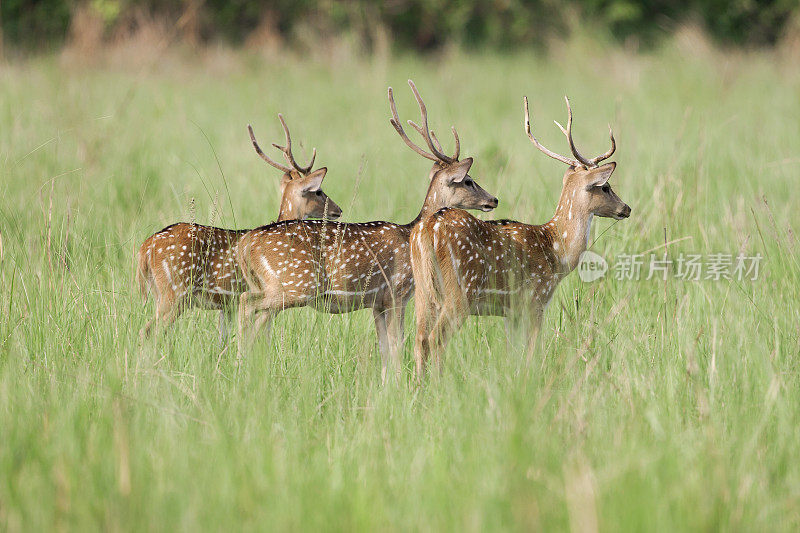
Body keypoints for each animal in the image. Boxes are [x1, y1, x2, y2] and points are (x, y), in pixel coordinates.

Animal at [136, 116, 342, 340]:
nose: (338, 210)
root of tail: (144, 249)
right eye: (318, 191)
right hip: (175, 291)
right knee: (148, 330)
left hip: (160, 293)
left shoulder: (227, 306)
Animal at [238, 79, 496, 380]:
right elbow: (397, 346)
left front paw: (387, 384)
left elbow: (384, 349)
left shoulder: (377, 302)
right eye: (468, 180)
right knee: (247, 305)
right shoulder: (397, 292)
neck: (410, 232)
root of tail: (245, 243)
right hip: (294, 286)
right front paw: (401, 382)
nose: (493, 200)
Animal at [412, 95, 632, 378]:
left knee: (419, 339)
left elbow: (512, 355)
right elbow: (532, 352)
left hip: (423, 292)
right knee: (435, 339)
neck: (556, 252)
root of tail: (427, 229)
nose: (626, 208)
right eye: (605, 187)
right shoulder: (535, 299)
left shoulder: (512, 312)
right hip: (459, 290)